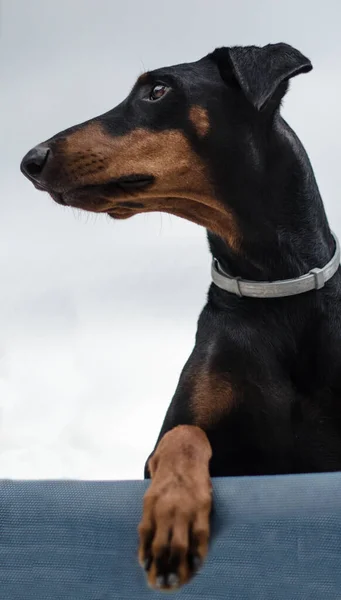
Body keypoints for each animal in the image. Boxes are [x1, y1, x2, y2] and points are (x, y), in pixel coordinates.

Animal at [20, 43, 340, 592]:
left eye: (158, 90)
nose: (30, 160)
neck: (275, 290)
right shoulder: (184, 442)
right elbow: (182, 436)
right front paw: (173, 515)